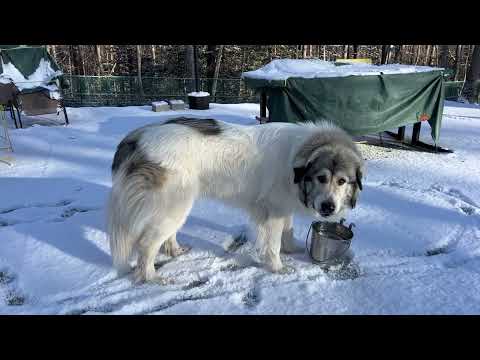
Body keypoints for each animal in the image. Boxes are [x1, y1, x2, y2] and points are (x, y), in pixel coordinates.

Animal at [108, 116, 364, 282]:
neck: (298, 159)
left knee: (165, 235)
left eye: (342, 181)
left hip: (177, 207)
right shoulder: (272, 212)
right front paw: (277, 268)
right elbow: (273, 244)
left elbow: (288, 232)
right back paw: (151, 278)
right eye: (321, 178)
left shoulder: (283, 207)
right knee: (146, 244)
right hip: (174, 205)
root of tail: (139, 136)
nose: (328, 207)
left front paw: (293, 250)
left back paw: (175, 251)